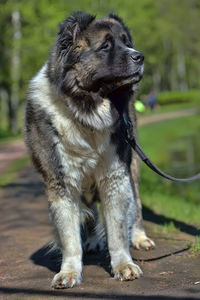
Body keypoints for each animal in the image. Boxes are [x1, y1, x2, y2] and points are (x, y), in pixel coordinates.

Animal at [24, 11, 155, 288]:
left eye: (126, 42)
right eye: (106, 46)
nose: (139, 56)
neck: (85, 110)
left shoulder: (115, 175)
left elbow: (117, 229)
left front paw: (124, 265)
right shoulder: (60, 182)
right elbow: (69, 236)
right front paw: (69, 272)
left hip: (133, 166)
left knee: (136, 205)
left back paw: (140, 238)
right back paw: (94, 241)